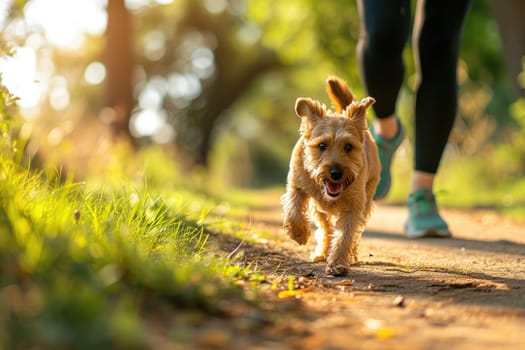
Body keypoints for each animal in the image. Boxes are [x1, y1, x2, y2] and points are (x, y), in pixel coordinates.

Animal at [280, 76, 378, 276]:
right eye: (321, 146)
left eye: (348, 147)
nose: (336, 173)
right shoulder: (296, 185)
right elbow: (293, 210)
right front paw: (299, 233)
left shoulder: (354, 206)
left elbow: (346, 235)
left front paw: (338, 263)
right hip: (318, 209)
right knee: (326, 229)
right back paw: (322, 252)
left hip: (366, 199)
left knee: (352, 233)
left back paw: (351, 255)